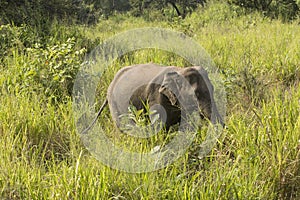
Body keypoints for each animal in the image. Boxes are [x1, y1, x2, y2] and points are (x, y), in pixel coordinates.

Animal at [81, 63, 224, 135]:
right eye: (196, 94)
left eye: (213, 89)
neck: (180, 70)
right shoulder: (156, 98)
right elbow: (159, 126)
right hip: (114, 103)